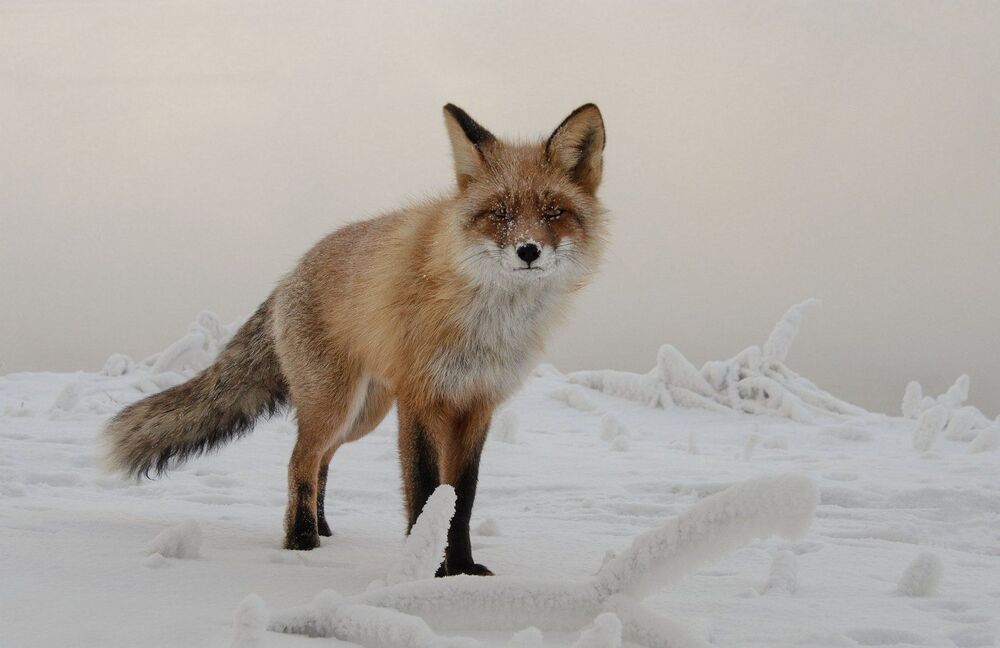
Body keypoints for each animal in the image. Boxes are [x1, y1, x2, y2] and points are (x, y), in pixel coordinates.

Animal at [104, 103, 607, 576]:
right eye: (500, 213)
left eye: (553, 212)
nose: (528, 251)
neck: (489, 321)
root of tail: (288, 276)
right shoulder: (421, 399)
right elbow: (426, 492)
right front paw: (426, 571)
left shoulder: (477, 404)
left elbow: (461, 499)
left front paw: (462, 570)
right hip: (335, 404)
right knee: (299, 460)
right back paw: (301, 540)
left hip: (363, 413)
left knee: (322, 461)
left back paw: (322, 528)